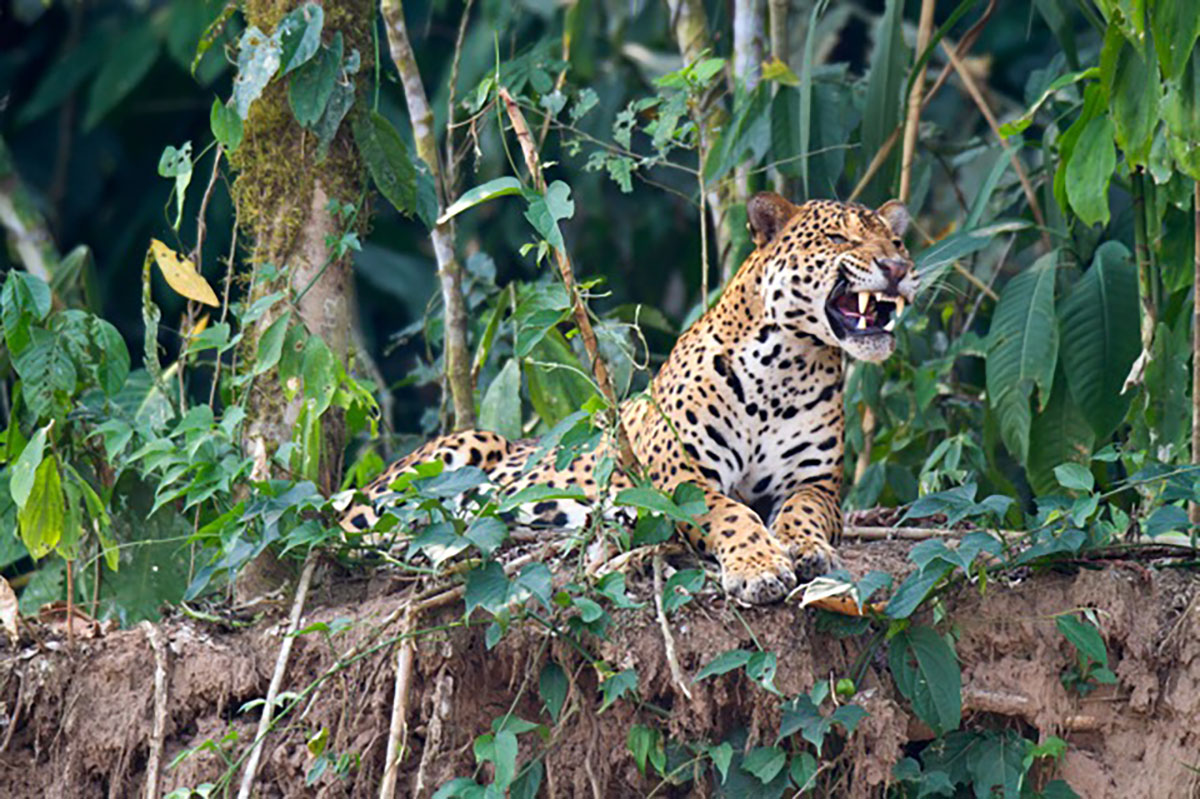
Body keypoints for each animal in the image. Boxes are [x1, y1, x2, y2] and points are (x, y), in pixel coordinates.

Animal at [341, 192, 918, 605]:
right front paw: (759, 569)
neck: (787, 370)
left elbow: (802, 511)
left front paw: (806, 548)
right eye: (839, 237)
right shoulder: (684, 484)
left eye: (896, 242)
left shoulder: (815, 483)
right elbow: (735, 516)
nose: (897, 268)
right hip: (453, 452)